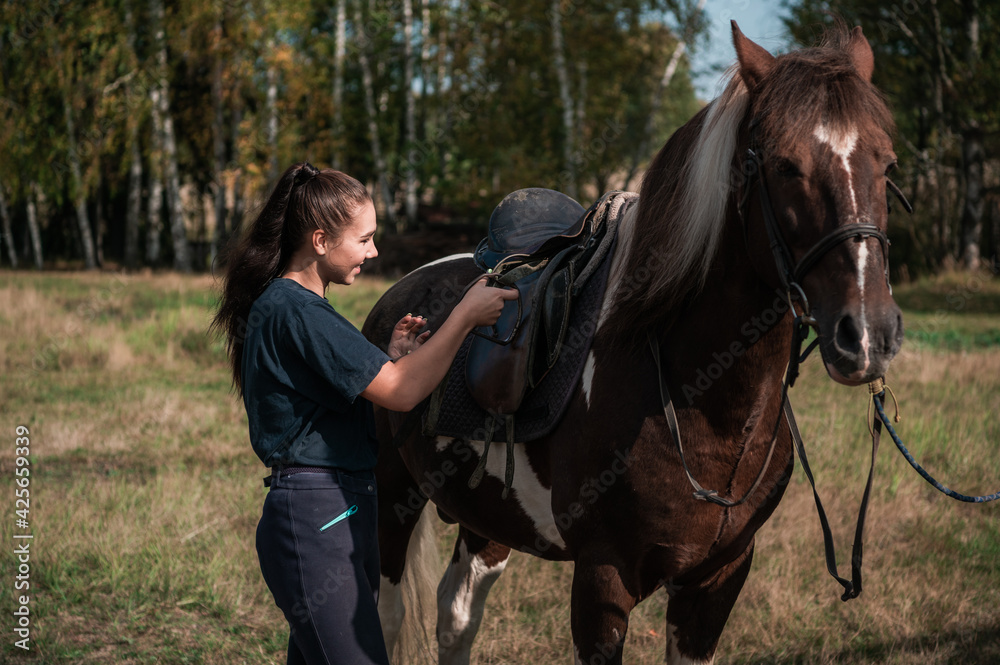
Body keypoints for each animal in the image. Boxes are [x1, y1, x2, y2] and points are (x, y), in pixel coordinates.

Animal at [362, 22, 905, 665]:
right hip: (391, 494)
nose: (867, 333)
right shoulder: (603, 579)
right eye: (784, 166)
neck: (703, 405)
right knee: (388, 614)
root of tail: (401, 289)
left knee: (457, 614)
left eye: (888, 166)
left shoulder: (718, 579)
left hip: (488, 517)